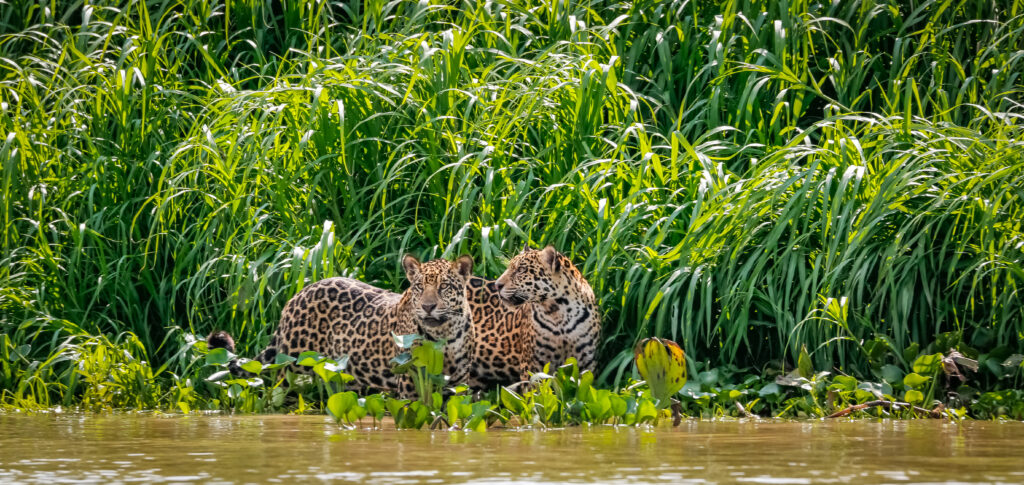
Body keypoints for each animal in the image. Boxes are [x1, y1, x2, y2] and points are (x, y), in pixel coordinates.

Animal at [208, 254, 476, 397]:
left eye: (444, 287)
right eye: (419, 287)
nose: (428, 307)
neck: (444, 335)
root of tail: (298, 294)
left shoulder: (459, 382)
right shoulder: (411, 380)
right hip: (291, 361)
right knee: (276, 384)